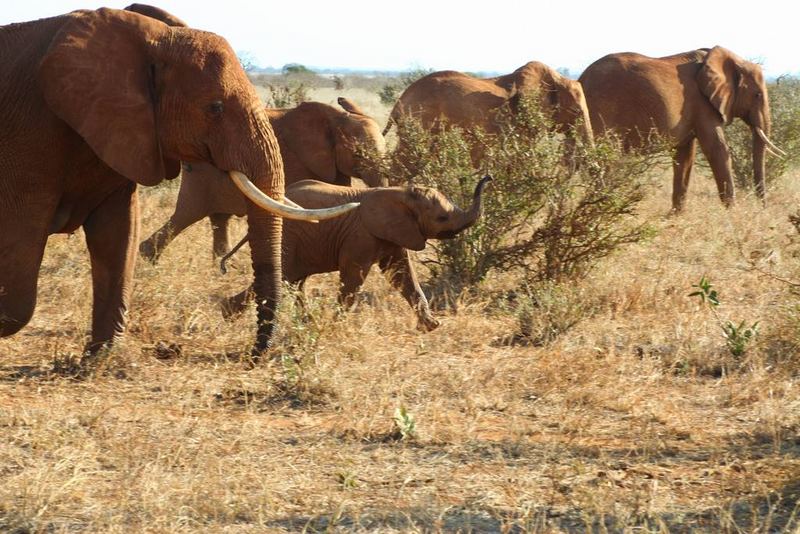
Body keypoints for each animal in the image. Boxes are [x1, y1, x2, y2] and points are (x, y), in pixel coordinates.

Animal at [0, 6, 356, 364]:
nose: (254, 355)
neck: (151, 40)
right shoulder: (30, 133)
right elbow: (23, 243)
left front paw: (98, 358)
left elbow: (118, 233)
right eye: (215, 108)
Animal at [140, 98, 388, 264]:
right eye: (359, 155)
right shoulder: (298, 161)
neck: (337, 120)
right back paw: (148, 258)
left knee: (218, 218)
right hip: (201, 173)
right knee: (188, 213)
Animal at [220, 177, 494, 330]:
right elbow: (354, 276)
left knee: (295, 280)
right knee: (285, 275)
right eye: (442, 217)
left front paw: (432, 327)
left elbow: (402, 275)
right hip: (289, 236)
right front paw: (334, 326)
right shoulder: (360, 235)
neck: (401, 191)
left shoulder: (394, 234)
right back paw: (228, 313)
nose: (489, 177)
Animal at [580, 46, 784, 213]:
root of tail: (581, 79)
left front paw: (675, 215)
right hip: (602, 108)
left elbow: (685, 156)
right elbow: (717, 148)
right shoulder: (702, 103)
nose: (762, 208)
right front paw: (733, 213)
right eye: (757, 95)